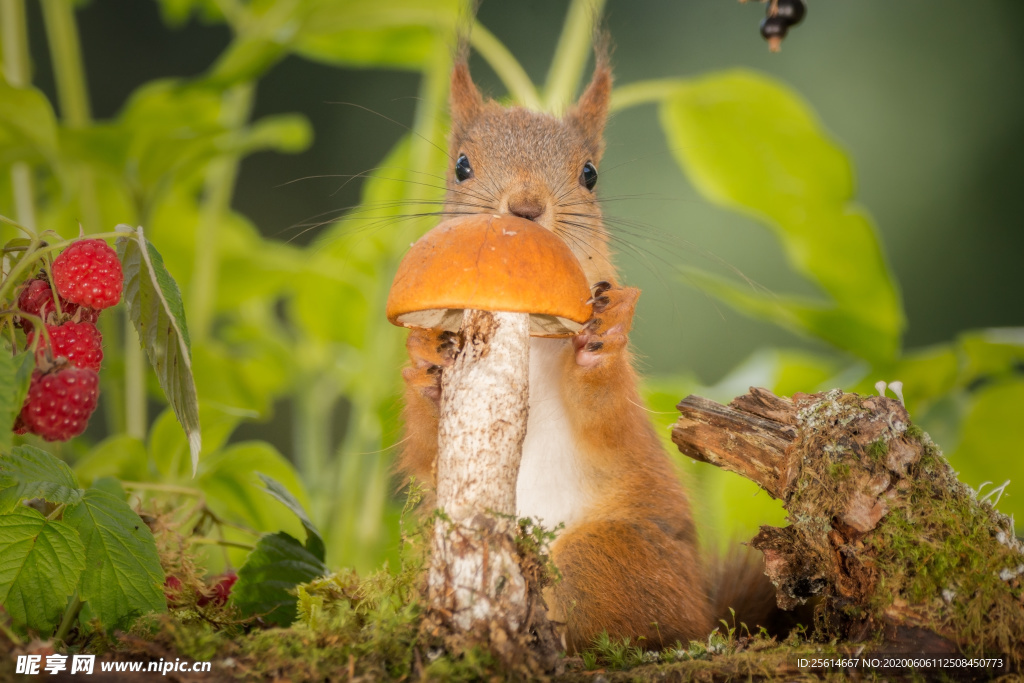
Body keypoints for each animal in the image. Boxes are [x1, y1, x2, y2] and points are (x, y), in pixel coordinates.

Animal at [399, 52, 761, 651]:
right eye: (461, 166)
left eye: (590, 174)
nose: (525, 207)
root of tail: (707, 613)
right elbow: (428, 449)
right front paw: (428, 364)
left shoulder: (624, 421)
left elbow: (609, 419)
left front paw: (597, 343)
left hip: (609, 558)